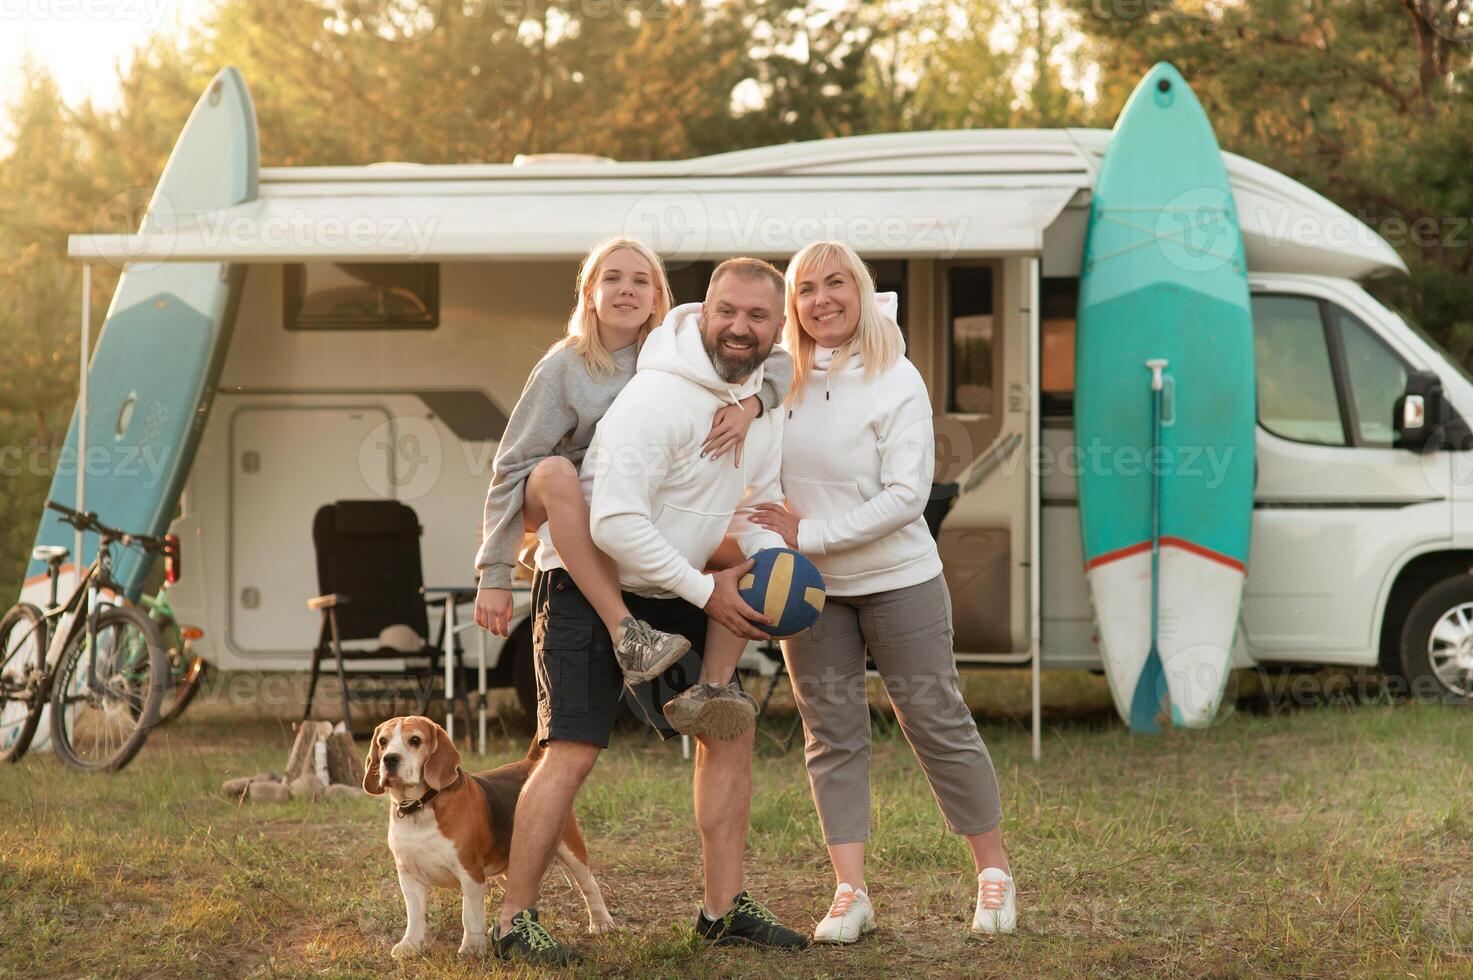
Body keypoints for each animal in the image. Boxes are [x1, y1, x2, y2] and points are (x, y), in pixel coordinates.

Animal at [363, 719, 615, 954]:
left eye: (415, 740)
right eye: (382, 742)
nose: (389, 759)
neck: (420, 807)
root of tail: (530, 764)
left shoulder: (470, 873)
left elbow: (470, 915)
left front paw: (471, 948)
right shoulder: (408, 875)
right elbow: (414, 916)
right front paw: (410, 945)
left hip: (570, 847)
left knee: (589, 885)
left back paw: (601, 922)